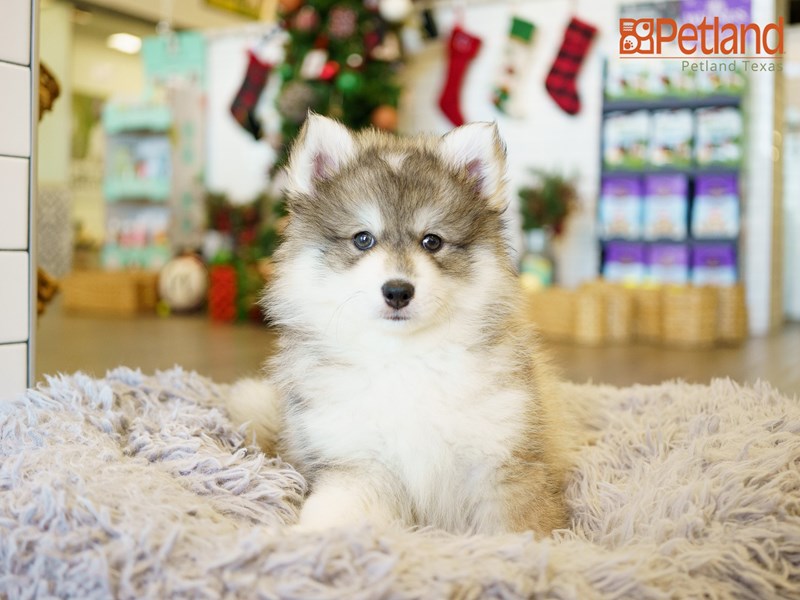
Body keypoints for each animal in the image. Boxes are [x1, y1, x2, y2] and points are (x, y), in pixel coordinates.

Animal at [231, 115, 568, 536]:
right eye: (363, 239)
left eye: (432, 241)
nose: (397, 291)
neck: (404, 358)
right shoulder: (359, 463)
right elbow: (331, 514)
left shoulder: (502, 459)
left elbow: (519, 530)